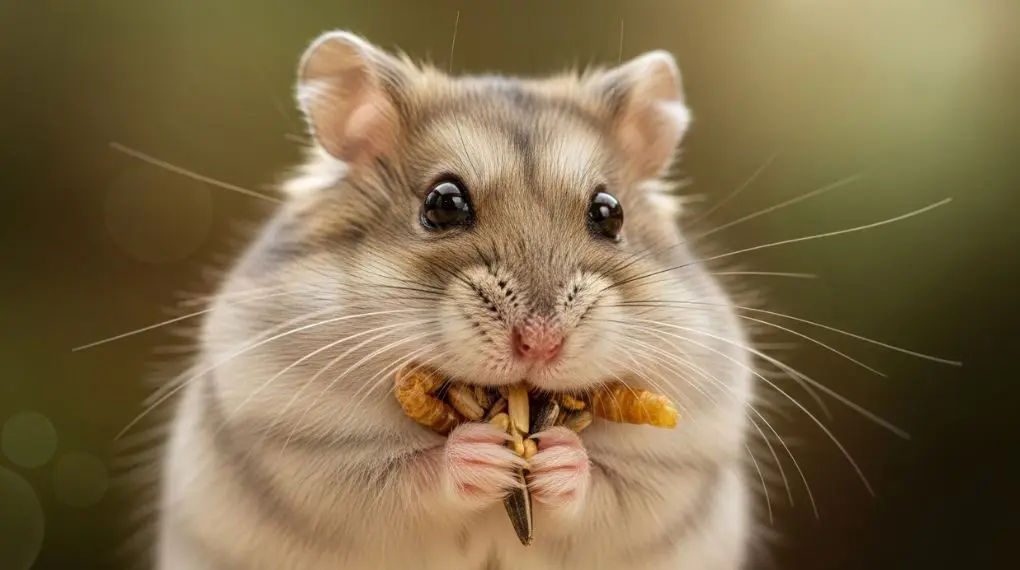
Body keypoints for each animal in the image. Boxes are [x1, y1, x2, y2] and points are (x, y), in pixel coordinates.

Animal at [155, 30, 756, 570]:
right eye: (442, 204)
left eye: (610, 213)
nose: (540, 345)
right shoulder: (298, 446)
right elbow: (399, 475)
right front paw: (482, 453)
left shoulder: (679, 464)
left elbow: (610, 485)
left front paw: (559, 457)